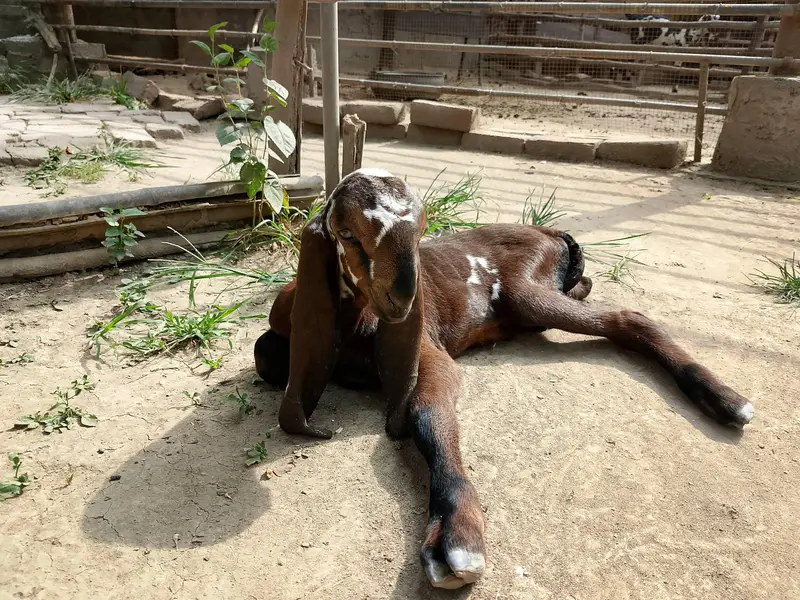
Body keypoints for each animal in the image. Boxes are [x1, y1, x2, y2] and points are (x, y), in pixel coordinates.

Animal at [253, 168, 754, 590]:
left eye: (421, 230)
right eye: (346, 234)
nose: (404, 296)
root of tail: (548, 231)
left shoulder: (428, 351)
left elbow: (424, 412)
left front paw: (455, 539)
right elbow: (264, 355)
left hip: (525, 290)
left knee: (625, 317)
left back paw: (724, 399)